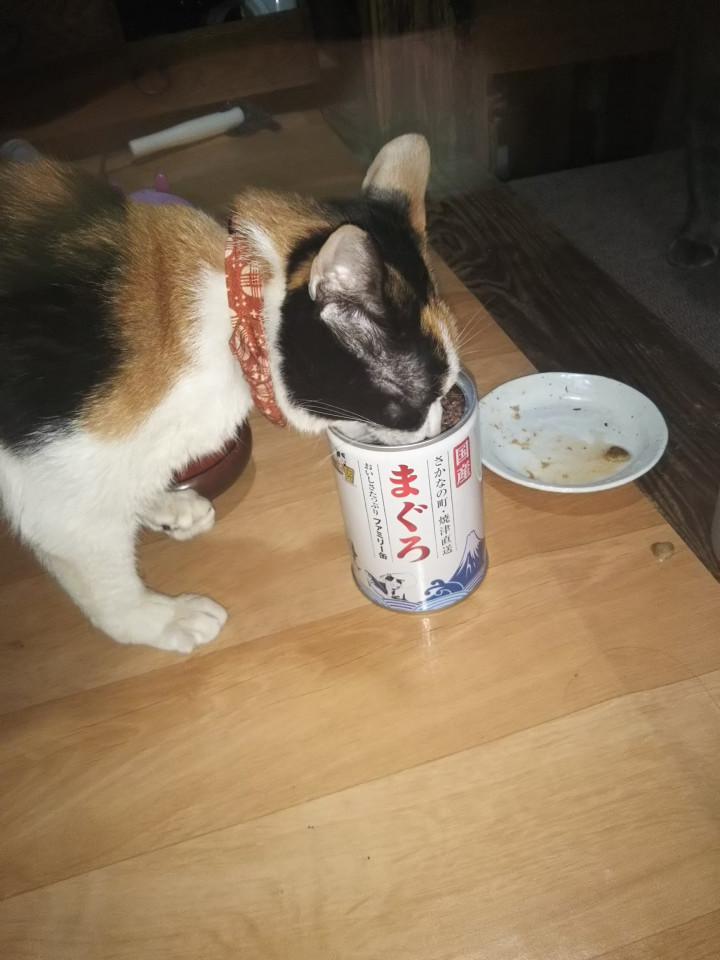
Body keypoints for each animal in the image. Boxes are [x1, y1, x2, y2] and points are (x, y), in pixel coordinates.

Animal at [0, 135, 460, 652]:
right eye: (409, 402)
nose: (437, 430)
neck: (234, 314)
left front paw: (160, 502)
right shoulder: (55, 482)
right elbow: (94, 564)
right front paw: (157, 618)